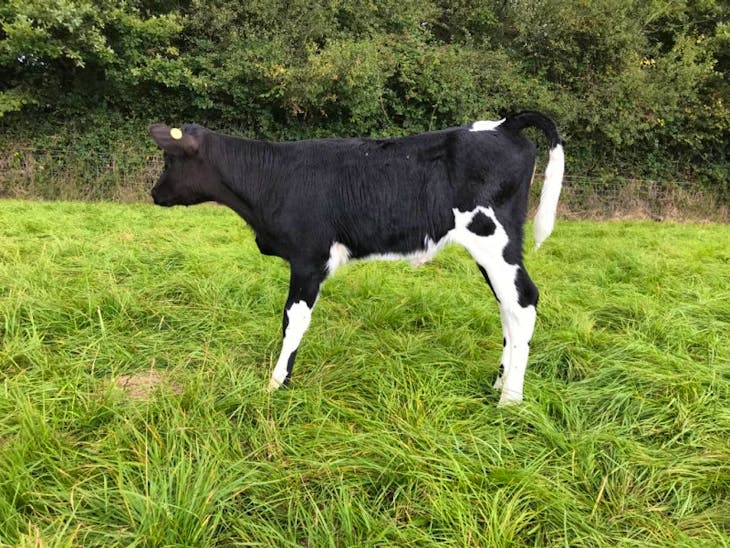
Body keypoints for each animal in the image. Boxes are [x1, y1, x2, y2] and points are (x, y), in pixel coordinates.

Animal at [149, 111, 564, 405]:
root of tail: (503, 125)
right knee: (508, 308)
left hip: (494, 240)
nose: (154, 193)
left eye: (170, 161)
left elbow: (292, 321)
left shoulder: (309, 259)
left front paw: (276, 385)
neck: (275, 178)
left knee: (523, 302)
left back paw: (510, 400)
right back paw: (498, 384)